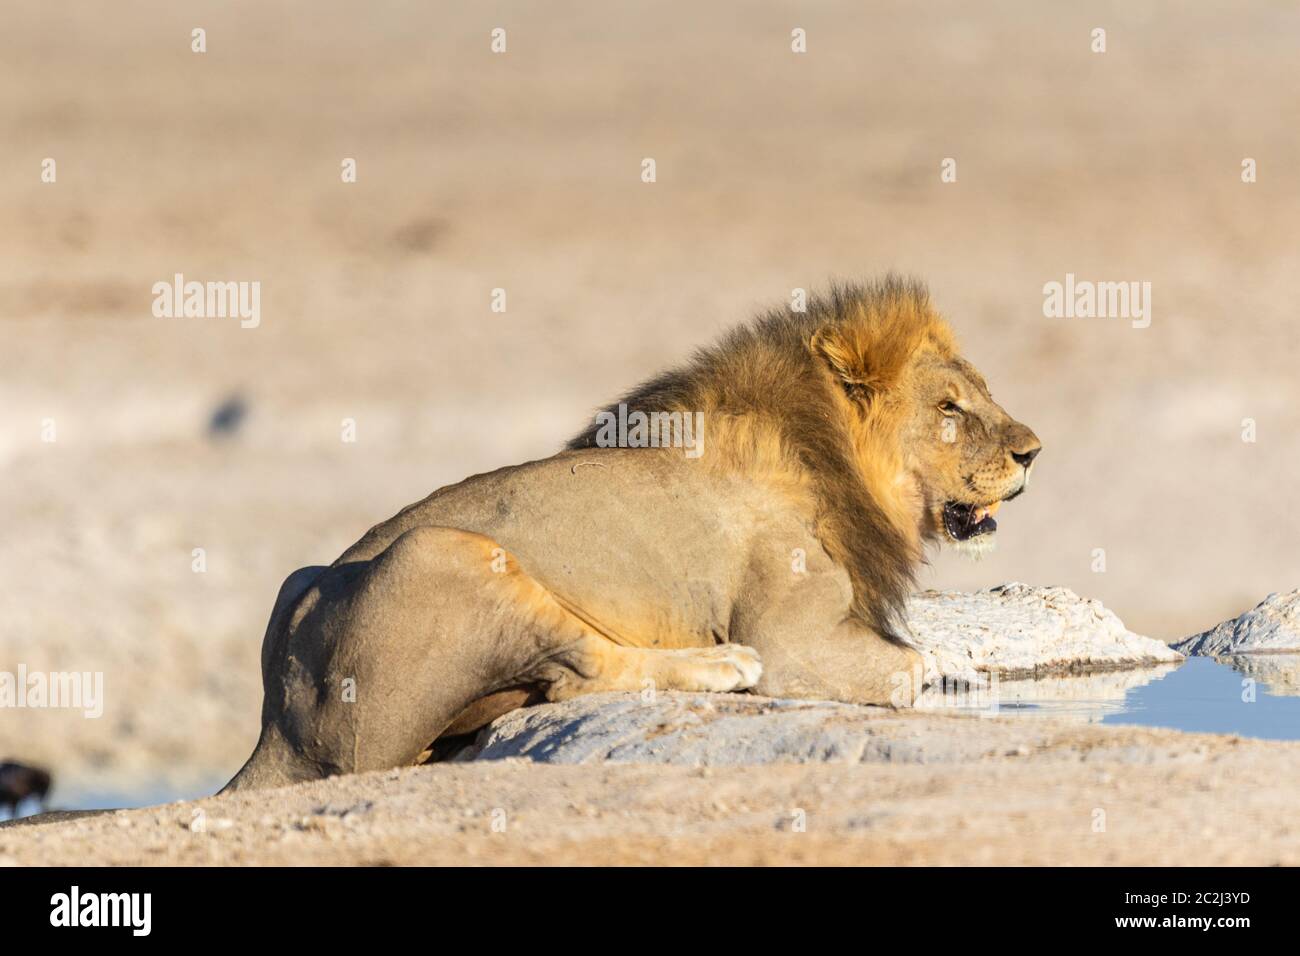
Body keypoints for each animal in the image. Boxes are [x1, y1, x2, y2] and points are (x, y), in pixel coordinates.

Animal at [223, 278, 1041, 790]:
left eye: (983, 392)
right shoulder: (794, 641)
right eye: (949, 407)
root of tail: (280, 716)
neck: (831, 459)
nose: (1033, 451)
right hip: (449, 552)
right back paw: (722, 665)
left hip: (305, 580)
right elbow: (909, 663)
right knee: (580, 672)